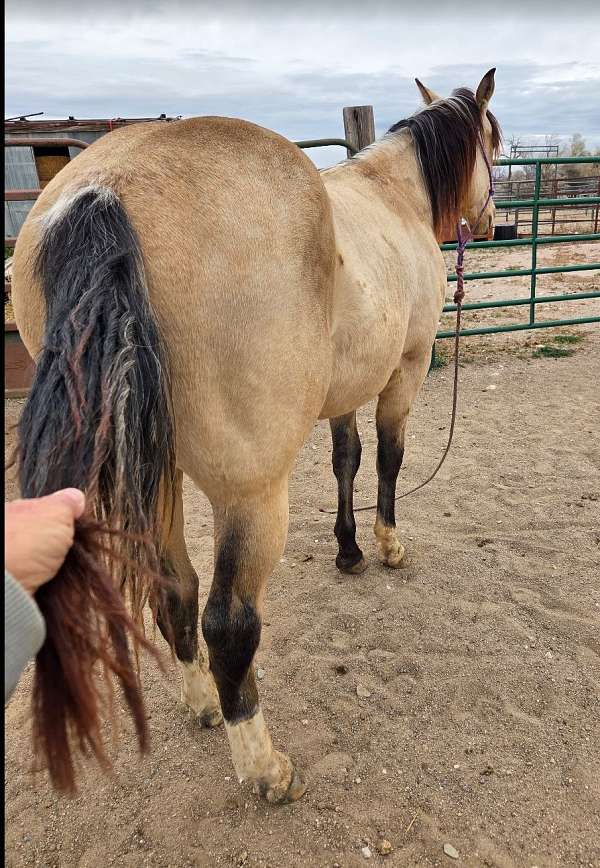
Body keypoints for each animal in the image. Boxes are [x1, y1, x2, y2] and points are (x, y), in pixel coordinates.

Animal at [11, 69, 500, 802]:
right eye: (494, 143)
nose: (497, 221)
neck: (395, 198)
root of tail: (102, 189)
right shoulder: (405, 370)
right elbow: (387, 458)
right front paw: (386, 545)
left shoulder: (341, 393)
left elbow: (346, 460)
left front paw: (349, 550)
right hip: (251, 494)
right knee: (229, 622)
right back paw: (265, 767)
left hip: (160, 473)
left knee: (174, 587)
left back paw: (204, 705)